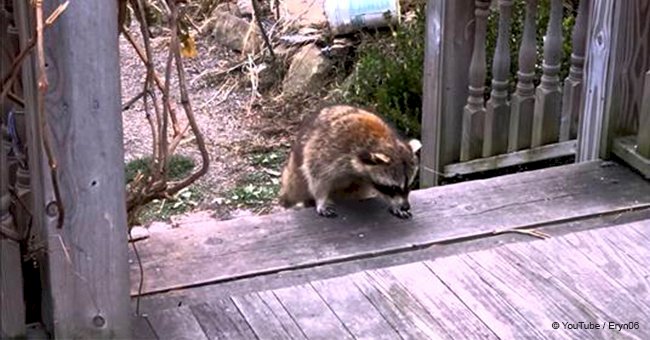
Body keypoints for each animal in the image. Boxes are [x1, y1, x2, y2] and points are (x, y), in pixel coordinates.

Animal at [278, 105, 420, 219]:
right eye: (394, 187)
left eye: (410, 185)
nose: (405, 206)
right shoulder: (327, 151)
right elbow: (318, 177)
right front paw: (321, 199)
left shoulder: (368, 175)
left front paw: (394, 203)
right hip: (294, 174)